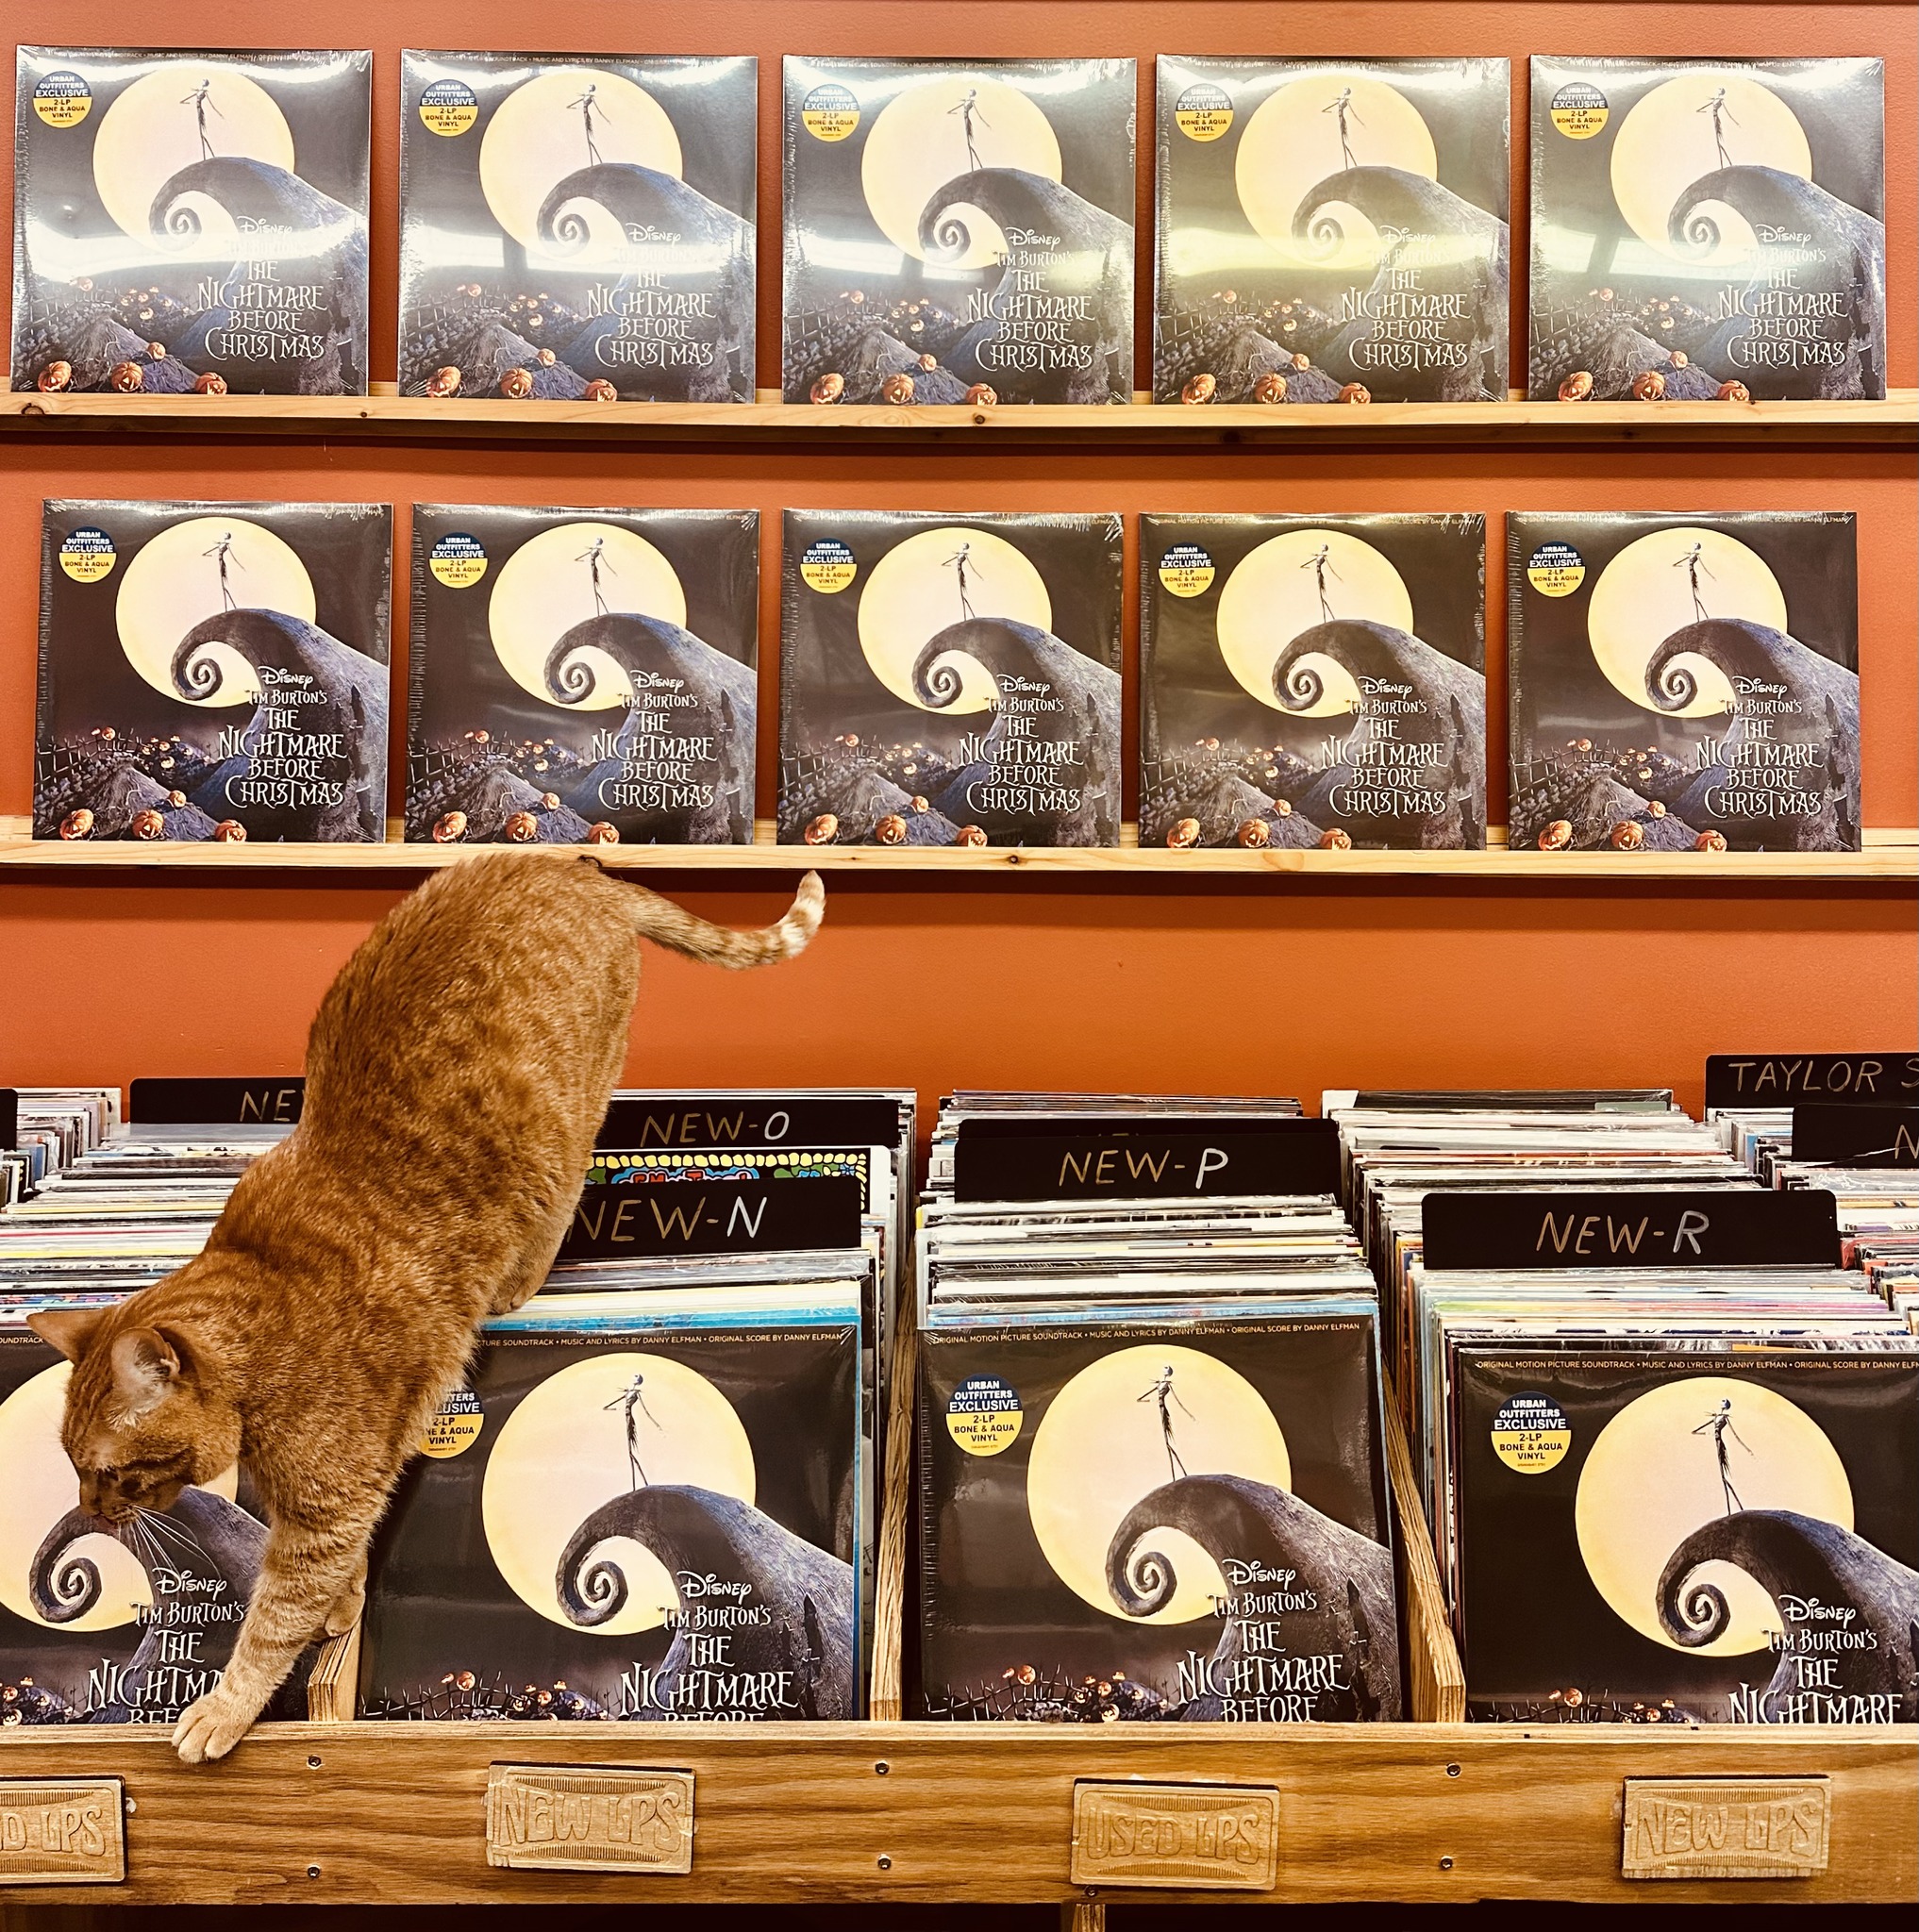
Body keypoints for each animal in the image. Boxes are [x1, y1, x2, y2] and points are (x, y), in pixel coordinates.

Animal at [26, 852, 824, 1763]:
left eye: (106, 1471)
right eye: (73, 1466)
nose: (92, 1511)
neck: (264, 1308)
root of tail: (576, 866)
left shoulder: (327, 1508)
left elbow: (273, 1619)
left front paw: (224, 1708)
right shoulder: (327, 1507)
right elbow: (323, 1574)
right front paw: (340, 1611)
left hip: (568, 1122)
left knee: (567, 1188)